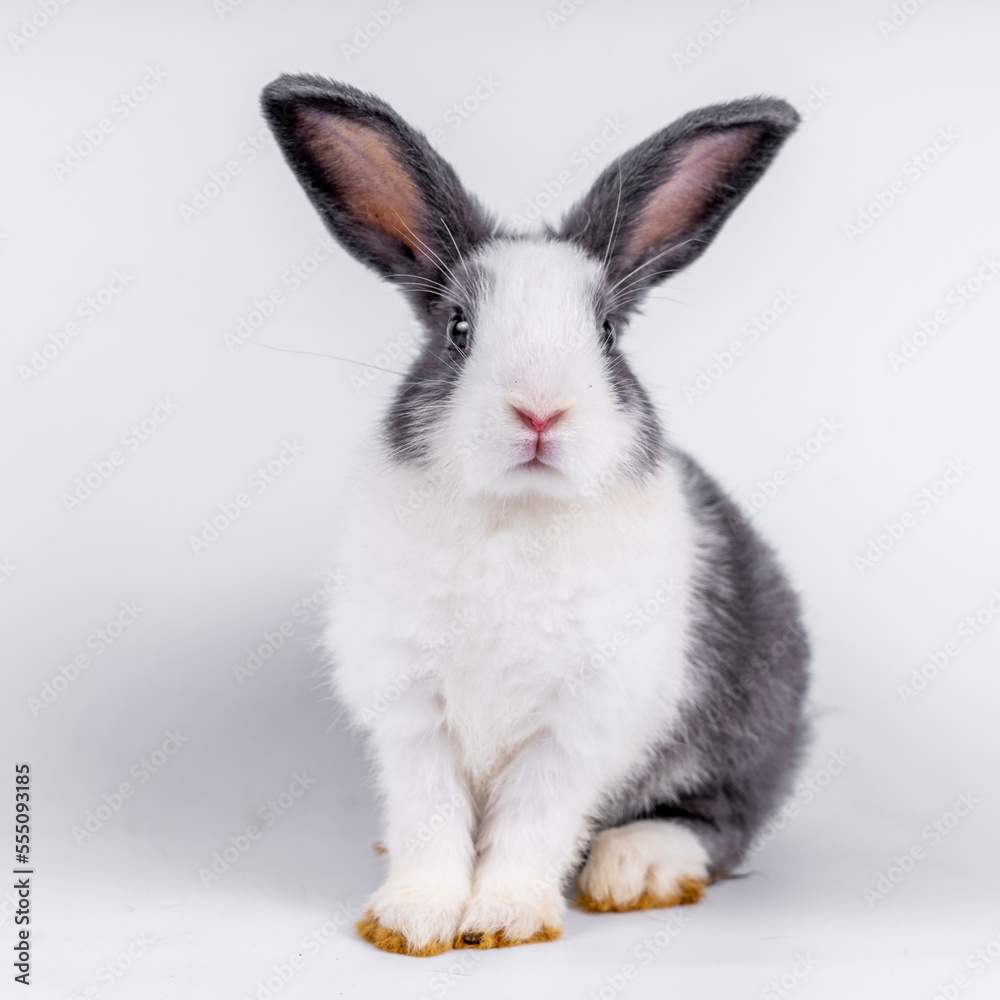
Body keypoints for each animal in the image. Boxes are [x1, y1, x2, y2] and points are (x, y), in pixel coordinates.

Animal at [262, 76, 808, 952]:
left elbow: (532, 822)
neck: (514, 515)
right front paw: (411, 922)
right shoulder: (412, 713)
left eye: (608, 332)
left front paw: (505, 919)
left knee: (723, 819)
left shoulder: (576, 725)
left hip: (751, 729)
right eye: (458, 328)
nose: (541, 411)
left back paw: (638, 866)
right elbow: (432, 820)